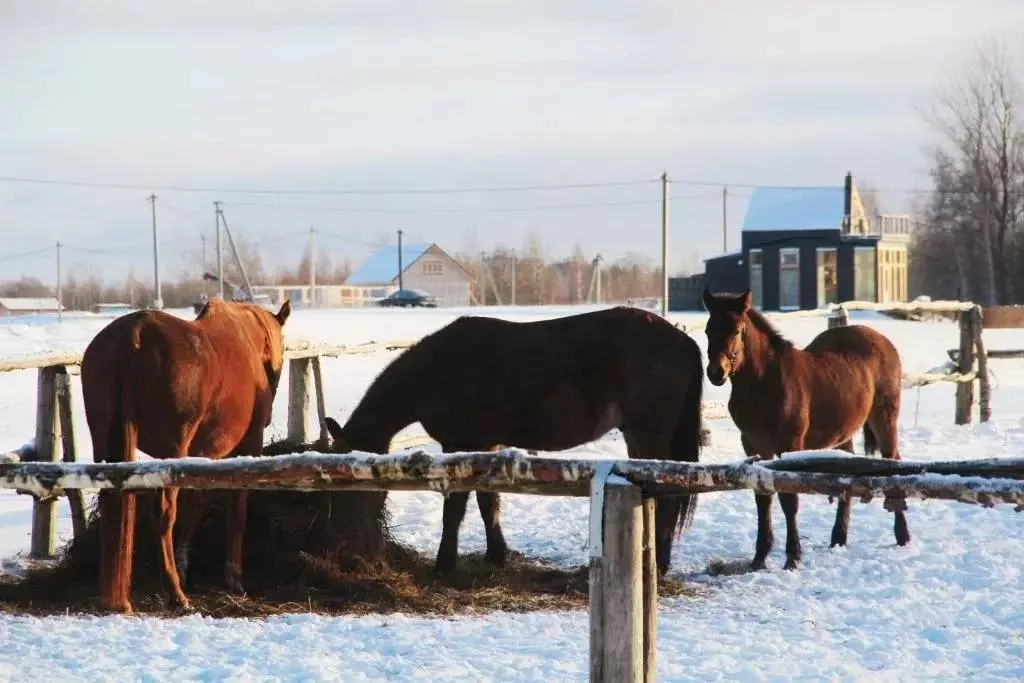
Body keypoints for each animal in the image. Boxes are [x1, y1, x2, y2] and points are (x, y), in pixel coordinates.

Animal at [78, 299, 288, 614]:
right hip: (172, 450)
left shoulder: (202, 457)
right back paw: (176, 594)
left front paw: (185, 565)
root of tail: (135, 335)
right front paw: (234, 578)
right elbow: (236, 511)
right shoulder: (246, 449)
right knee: (164, 514)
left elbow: (194, 508)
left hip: (105, 444)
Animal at [323, 305, 708, 577]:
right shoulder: (485, 446)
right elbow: (487, 502)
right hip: (636, 436)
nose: (349, 527)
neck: (439, 370)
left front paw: (445, 563)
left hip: (650, 433)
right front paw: (497, 554)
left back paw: (660, 562)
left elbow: (456, 508)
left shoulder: (460, 445)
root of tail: (684, 342)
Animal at [700, 288, 909, 573]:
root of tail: (882, 340)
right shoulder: (754, 445)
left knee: (893, 461)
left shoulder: (789, 445)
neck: (764, 383)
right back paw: (838, 538)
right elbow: (762, 498)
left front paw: (793, 557)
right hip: (842, 435)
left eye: (736, 330)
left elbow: (789, 499)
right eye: (708, 330)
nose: (716, 372)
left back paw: (902, 535)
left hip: (885, 418)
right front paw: (759, 557)